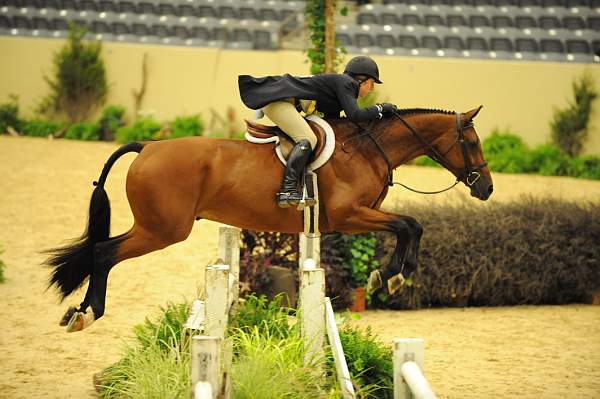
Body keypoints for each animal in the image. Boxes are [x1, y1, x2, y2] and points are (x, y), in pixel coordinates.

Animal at [42, 105, 492, 332]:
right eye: (471, 142)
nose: (486, 188)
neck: (367, 149)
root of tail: (148, 147)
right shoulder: (350, 217)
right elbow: (408, 224)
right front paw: (391, 276)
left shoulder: (362, 215)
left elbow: (411, 225)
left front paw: (393, 276)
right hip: (162, 230)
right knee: (104, 252)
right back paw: (86, 314)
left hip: (156, 227)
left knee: (102, 251)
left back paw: (79, 312)